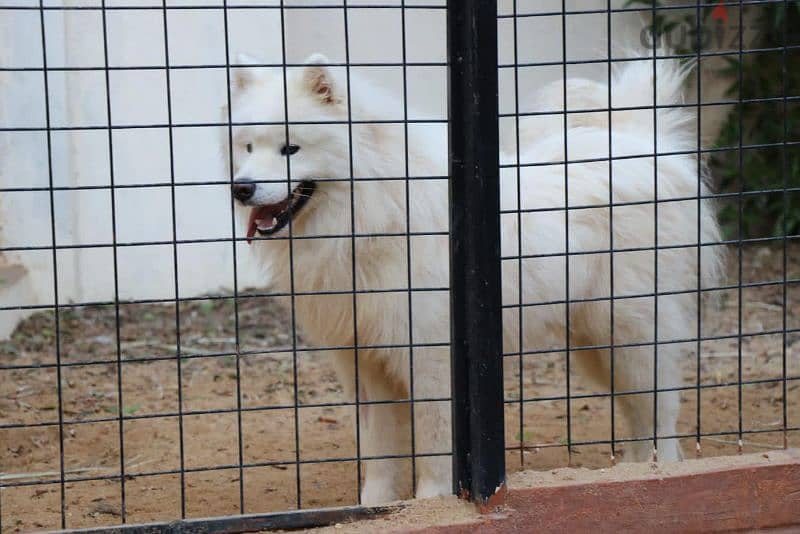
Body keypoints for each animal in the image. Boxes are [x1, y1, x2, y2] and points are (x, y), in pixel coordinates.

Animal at [227, 51, 724, 506]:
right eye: (247, 148)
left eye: (291, 148)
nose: (241, 188)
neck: (373, 213)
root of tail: (641, 139)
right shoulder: (364, 362)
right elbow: (380, 451)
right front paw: (376, 505)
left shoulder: (430, 359)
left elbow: (433, 441)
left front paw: (432, 501)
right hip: (597, 344)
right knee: (638, 413)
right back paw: (633, 472)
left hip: (631, 333)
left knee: (659, 412)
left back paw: (658, 471)